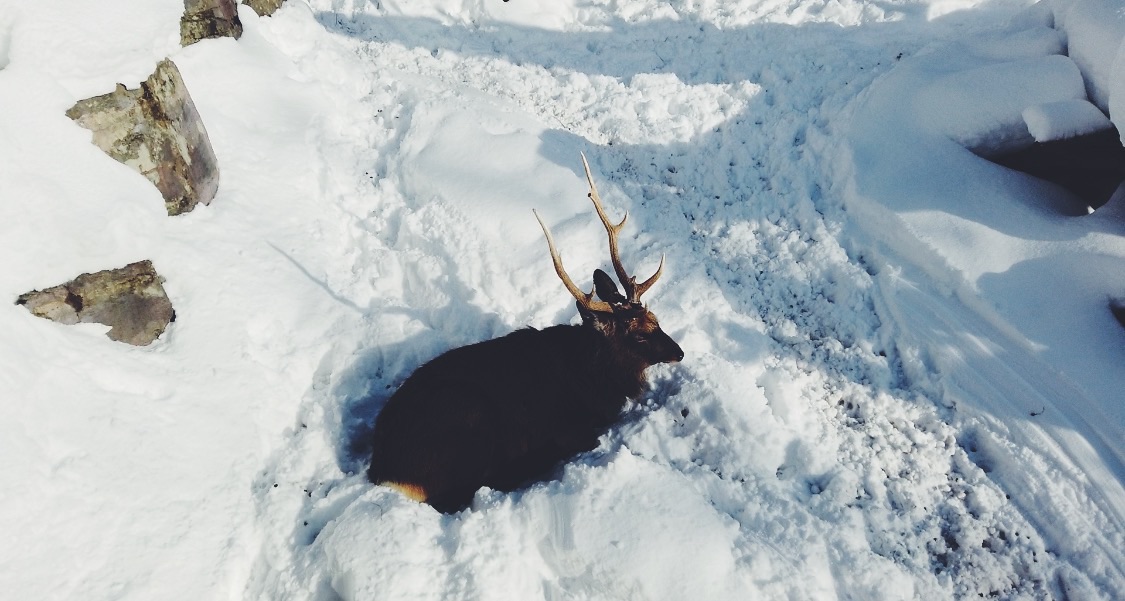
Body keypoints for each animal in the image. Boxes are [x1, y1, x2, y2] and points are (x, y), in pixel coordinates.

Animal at [366, 154, 684, 513]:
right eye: (639, 335)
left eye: (655, 317)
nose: (679, 351)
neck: (597, 379)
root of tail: (383, 471)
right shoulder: (568, 426)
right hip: (470, 418)